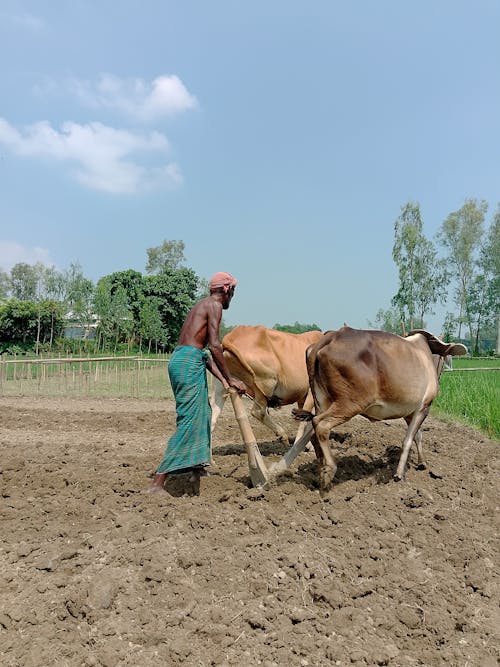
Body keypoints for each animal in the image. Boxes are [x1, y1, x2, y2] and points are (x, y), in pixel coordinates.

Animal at [294, 328, 466, 496]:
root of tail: (328, 339)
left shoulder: (410, 412)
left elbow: (417, 436)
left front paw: (421, 462)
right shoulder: (423, 407)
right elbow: (408, 440)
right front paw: (399, 474)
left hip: (322, 400)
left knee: (313, 430)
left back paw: (320, 468)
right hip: (350, 403)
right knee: (321, 425)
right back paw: (329, 470)